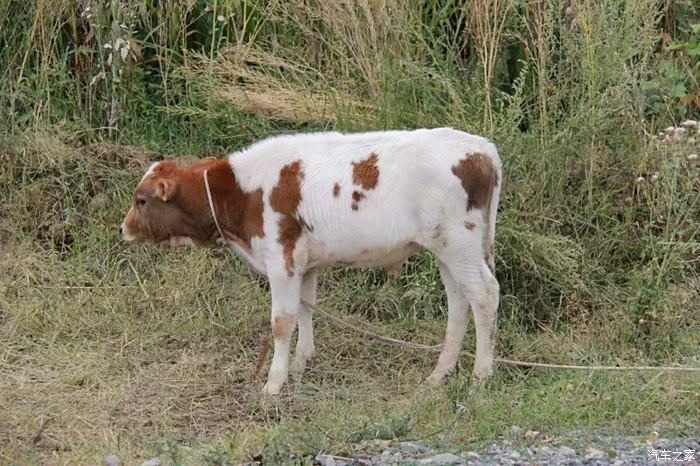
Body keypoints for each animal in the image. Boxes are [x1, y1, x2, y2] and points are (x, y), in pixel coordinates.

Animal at [121, 127, 504, 394]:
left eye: (141, 200)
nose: (123, 229)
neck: (243, 193)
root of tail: (481, 148)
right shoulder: (304, 263)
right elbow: (306, 308)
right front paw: (301, 364)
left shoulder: (281, 260)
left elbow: (282, 321)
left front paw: (274, 383)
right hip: (448, 250)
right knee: (459, 302)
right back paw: (440, 373)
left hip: (460, 244)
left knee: (484, 295)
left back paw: (481, 376)